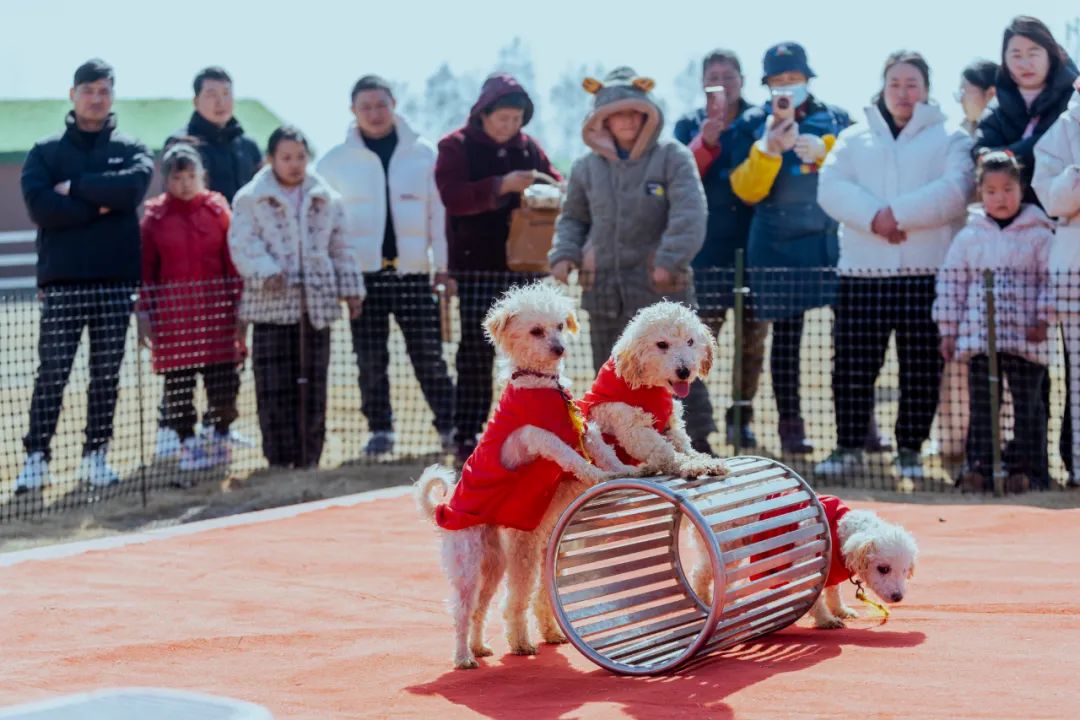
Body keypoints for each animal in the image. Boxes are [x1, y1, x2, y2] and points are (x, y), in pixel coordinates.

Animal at [414, 282, 638, 669]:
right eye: (535, 331)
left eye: (559, 326)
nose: (560, 348)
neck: (542, 386)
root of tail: (443, 510)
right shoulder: (539, 437)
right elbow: (569, 456)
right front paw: (594, 474)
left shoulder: (581, 427)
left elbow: (602, 448)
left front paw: (622, 469)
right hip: (468, 565)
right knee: (461, 611)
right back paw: (463, 656)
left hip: (493, 565)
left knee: (480, 609)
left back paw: (479, 648)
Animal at [578, 301, 728, 478]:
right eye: (662, 344)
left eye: (690, 341)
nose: (684, 371)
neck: (648, 386)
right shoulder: (634, 429)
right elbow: (665, 452)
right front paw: (689, 465)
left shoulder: (670, 426)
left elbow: (684, 446)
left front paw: (704, 460)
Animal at [689, 495, 918, 629]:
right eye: (883, 569)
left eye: (904, 571)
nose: (898, 597)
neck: (838, 528)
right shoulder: (808, 567)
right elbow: (814, 598)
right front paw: (826, 620)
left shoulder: (831, 569)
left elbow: (833, 593)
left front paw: (841, 611)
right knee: (701, 574)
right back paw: (705, 598)